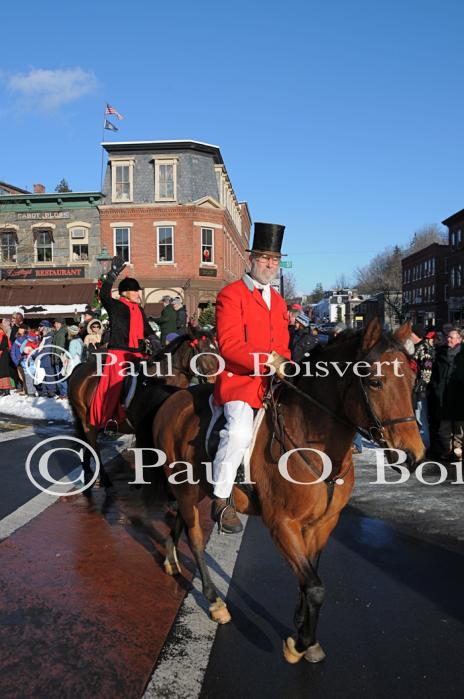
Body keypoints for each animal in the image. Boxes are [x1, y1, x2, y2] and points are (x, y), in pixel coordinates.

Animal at [67, 330, 219, 490]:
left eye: (216, 350)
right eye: (203, 352)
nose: (214, 381)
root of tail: (80, 367)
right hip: (87, 421)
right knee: (93, 444)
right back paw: (104, 479)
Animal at [148, 320, 424, 664]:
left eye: (412, 380)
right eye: (375, 382)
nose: (413, 455)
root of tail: (174, 399)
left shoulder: (322, 524)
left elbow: (310, 579)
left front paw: (302, 628)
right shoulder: (282, 524)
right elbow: (315, 586)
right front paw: (301, 643)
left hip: (192, 489)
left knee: (180, 523)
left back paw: (171, 558)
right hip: (185, 490)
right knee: (196, 538)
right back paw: (214, 600)